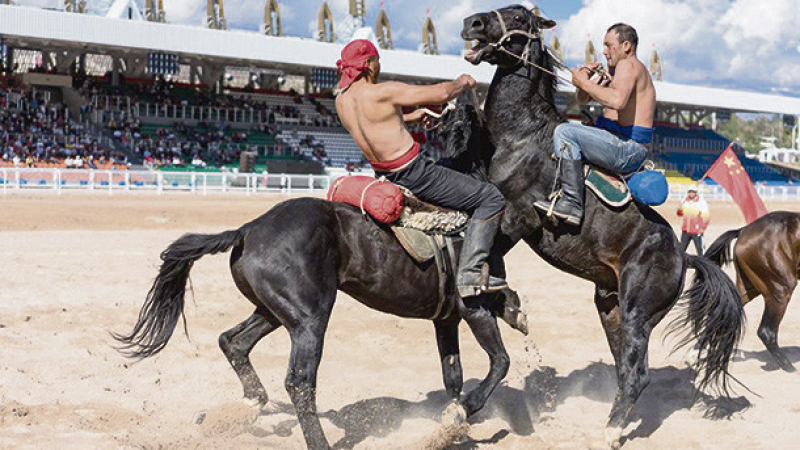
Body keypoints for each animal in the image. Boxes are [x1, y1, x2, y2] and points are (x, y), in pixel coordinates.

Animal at [460, 5, 748, 448]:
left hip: (635, 312)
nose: (472, 22)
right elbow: (491, 262)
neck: (522, 137)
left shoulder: (517, 217)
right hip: (610, 308)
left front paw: (507, 306)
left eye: (519, 17)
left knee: (637, 374)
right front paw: (509, 305)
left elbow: (488, 255)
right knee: (626, 370)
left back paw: (611, 431)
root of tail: (682, 257)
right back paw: (616, 422)